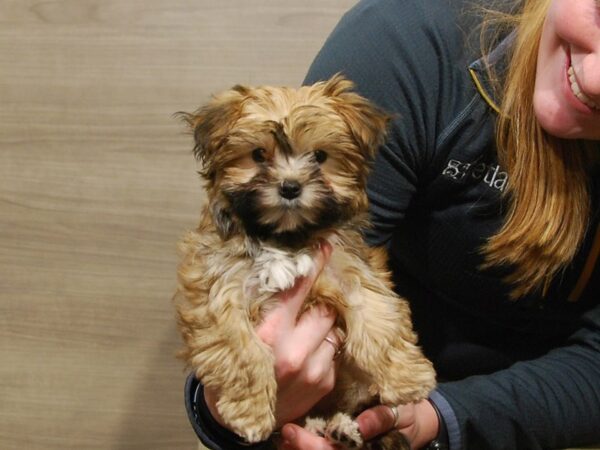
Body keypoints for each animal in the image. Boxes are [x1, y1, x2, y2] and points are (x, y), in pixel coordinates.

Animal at [175, 75, 436, 448]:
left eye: (320, 156)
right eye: (258, 155)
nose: (290, 187)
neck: (285, 239)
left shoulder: (347, 268)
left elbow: (377, 317)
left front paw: (408, 378)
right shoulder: (220, 288)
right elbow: (243, 351)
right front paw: (249, 413)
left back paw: (343, 429)